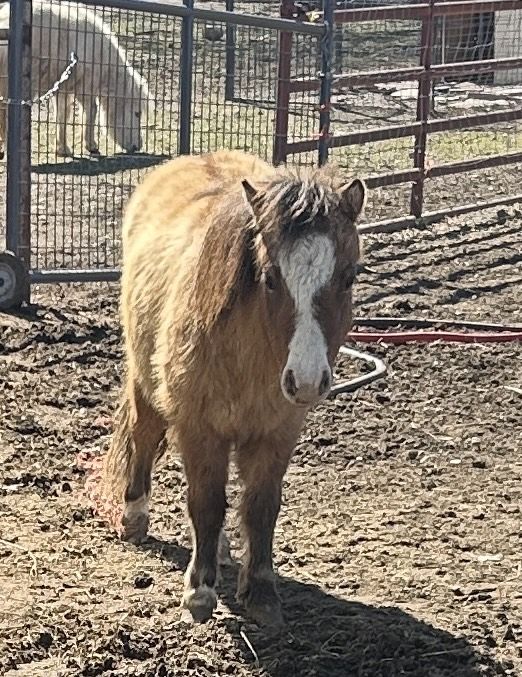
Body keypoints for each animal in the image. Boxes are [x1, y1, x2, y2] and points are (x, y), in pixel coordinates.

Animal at [0, 0, 150, 158]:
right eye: (138, 113)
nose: (138, 146)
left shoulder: (62, 89)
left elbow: (62, 115)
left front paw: (62, 148)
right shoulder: (86, 87)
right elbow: (91, 112)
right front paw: (91, 146)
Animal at [103, 149, 366, 626]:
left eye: (349, 276)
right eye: (271, 277)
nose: (306, 380)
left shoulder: (277, 433)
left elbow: (260, 508)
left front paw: (260, 592)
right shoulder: (199, 429)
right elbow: (206, 503)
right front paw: (199, 592)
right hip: (145, 383)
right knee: (144, 436)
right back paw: (134, 516)